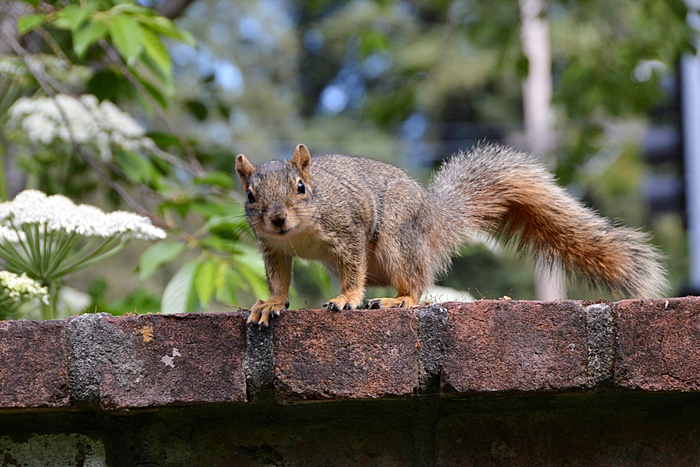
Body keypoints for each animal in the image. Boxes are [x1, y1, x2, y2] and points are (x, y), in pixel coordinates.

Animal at [234, 143, 668, 326]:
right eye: (250, 195)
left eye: (300, 187)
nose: (278, 219)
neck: (298, 233)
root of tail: (432, 220)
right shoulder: (273, 248)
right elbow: (279, 279)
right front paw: (271, 304)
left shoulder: (348, 228)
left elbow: (353, 269)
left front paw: (346, 298)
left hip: (397, 239)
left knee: (416, 282)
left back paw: (399, 300)